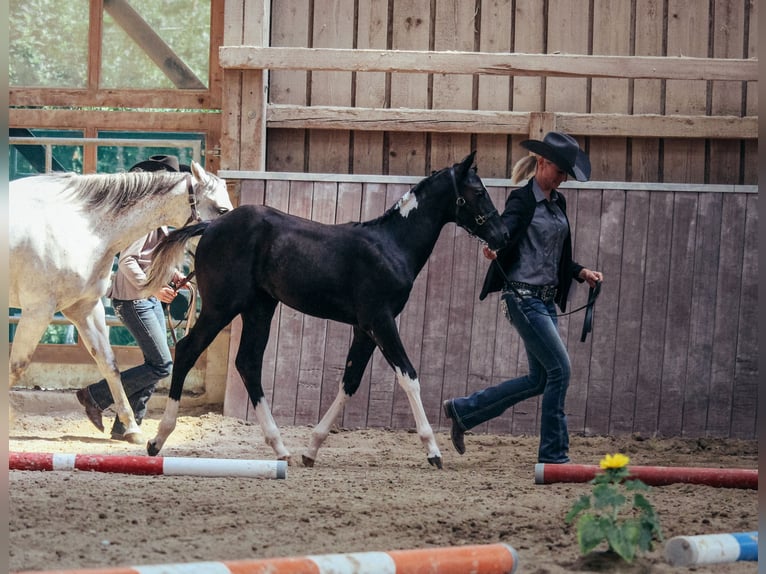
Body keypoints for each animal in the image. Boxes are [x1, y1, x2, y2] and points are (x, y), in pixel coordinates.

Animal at [9, 161, 233, 443]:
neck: (80, 228)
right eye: (222, 209)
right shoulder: (37, 311)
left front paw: (130, 427)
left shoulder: (84, 308)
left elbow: (110, 365)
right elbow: (16, 366)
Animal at [143, 152, 508, 468]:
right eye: (478, 191)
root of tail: (210, 227)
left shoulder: (365, 328)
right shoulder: (381, 320)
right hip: (222, 306)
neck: (392, 244)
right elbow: (409, 377)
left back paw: (281, 448)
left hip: (259, 308)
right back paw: (158, 439)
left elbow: (350, 381)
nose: (502, 235)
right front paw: (433, 451)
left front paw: (312, 449)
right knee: (187, 350)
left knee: (248, 363)